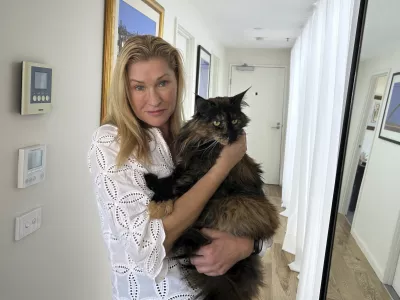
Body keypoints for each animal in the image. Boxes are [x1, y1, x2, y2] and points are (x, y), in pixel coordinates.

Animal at [145, 89, 280, 300]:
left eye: (235, 120)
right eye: (217, 122)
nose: (231, 136)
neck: (204, 145)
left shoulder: (196, 175)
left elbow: (175, 186)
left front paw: (158, 200)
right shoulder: (186, 167)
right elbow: (170, 178)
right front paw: (153, 185)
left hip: (237, 204)